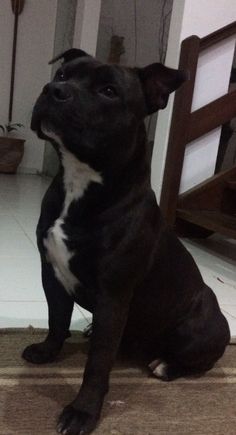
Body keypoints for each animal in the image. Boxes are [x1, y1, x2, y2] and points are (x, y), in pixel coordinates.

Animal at [22, 49, 230, 434]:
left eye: (108, 91)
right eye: (62, 74)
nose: (53, 90)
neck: (81, 183)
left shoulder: (114, 296)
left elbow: (97, 365)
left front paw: (82, 412)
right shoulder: (52, 274)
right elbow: (57, 319)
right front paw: (47, 351)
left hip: (199, 326)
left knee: (201, 360)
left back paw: (167, 366)